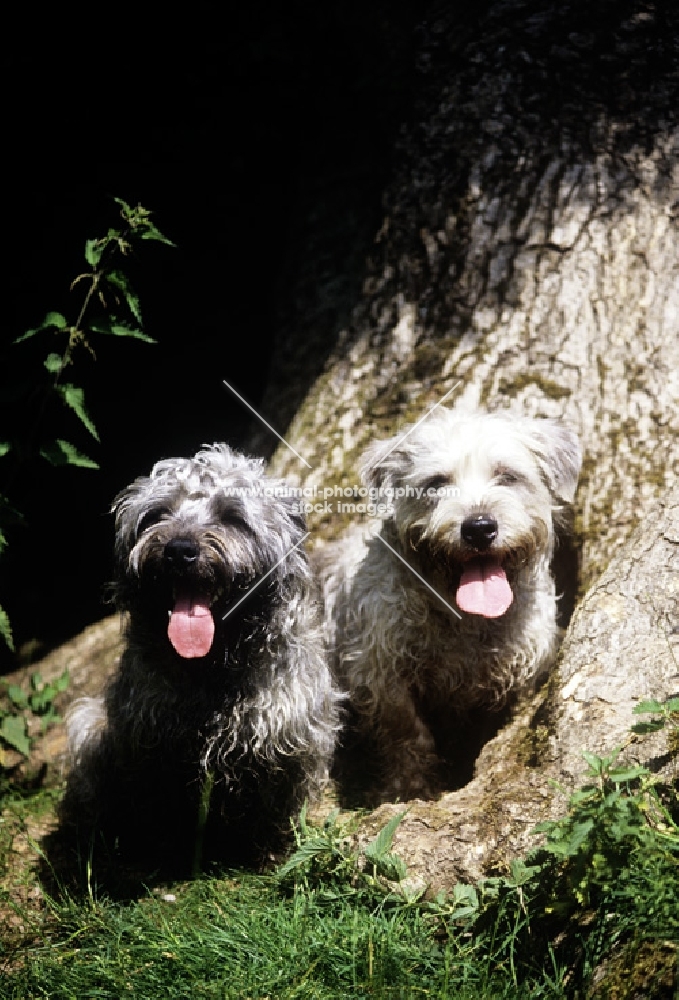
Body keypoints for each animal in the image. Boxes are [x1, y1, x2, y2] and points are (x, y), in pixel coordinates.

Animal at [59, 448, 340, 876]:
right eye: (156, 514)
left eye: (232, 516)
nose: (178, 550)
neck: (212, 669)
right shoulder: (148, 742)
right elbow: (158, 808)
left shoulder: (290, 738)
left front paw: (272, 853)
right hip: (89, 724)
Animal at [316, 408, 580, 804]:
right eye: (436, 482)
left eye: (508, 475)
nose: (479, 527)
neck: (465, 620)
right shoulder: (381, 672)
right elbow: (406, 734)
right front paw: (411, 789)